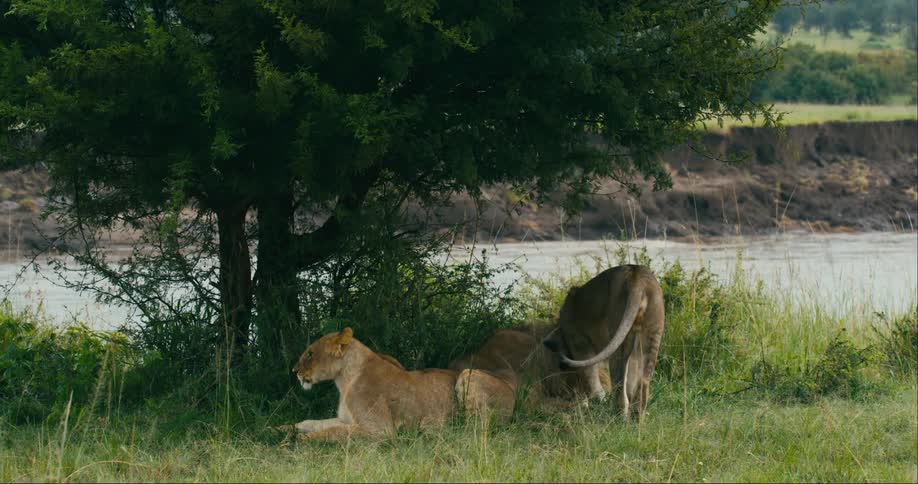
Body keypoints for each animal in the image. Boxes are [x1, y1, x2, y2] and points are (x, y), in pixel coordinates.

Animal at [288, 328, 513, 441]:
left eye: (310, 353)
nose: (294, 371)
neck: (344, 381)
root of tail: (512, 390)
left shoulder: (380, 430)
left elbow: (332, 432)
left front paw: (299, 440)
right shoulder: (346, 419)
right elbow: (313, 422)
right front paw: (286, 428)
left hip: (468, 375)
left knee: (475, 429)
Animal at [542, 265, 665, 420]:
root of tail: (637, 277)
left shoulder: (579, 343)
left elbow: (591, 378)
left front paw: (591, 404)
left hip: (619, 335)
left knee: (620, 384)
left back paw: (617, 417)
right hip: (652, 334)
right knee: (642, 381)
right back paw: (638, 418)